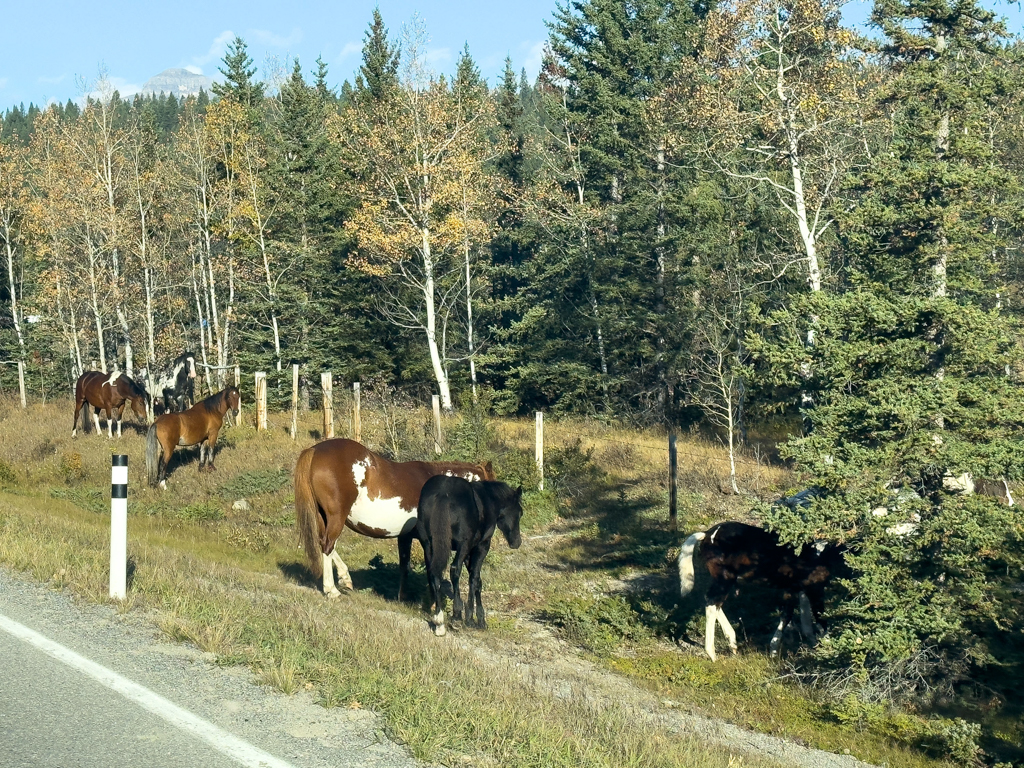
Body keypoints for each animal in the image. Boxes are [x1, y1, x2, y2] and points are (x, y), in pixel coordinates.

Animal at [292, 442, 495, 606]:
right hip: (336, 517)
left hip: (323, 517)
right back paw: (332, 590)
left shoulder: (405, 537)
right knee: (328, 545)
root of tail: (315, 450)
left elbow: (404, 566)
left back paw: (344, 577)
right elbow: (431, 569)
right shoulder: (429, 540)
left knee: (324, 543)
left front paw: (402, 597)